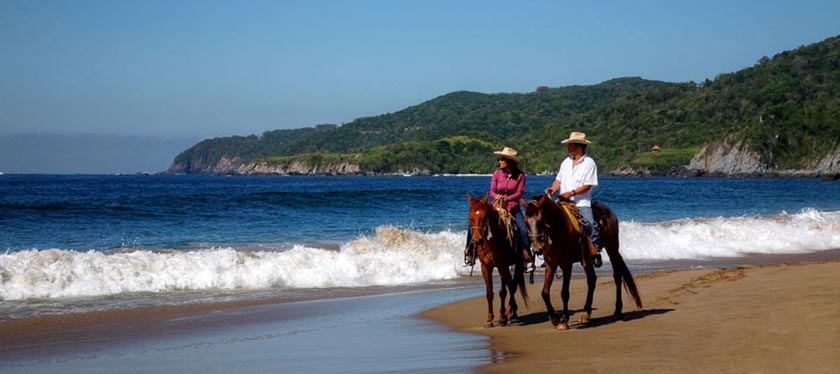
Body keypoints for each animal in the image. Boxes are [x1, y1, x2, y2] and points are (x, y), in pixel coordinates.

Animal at [466, 194, 524, 326]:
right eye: (470, 218)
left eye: (484, 217)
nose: (477, 240)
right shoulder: (485, 267)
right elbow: (489, 293)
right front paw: (489, 319)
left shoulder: (502, 266)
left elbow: (503, 292)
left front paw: (502, 317)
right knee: (511, 285)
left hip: (518, 263)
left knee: (513, 286)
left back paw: (512, 312)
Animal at [524, 196, 644, 330]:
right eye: (525, 222)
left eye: (541, 220)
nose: (537, 249)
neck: (559, 229)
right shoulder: (551, 264)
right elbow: (544, 293)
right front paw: (555, 318)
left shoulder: (566, 264)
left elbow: (564, 292)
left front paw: (564, 320)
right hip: (586, 259)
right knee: (592, 279)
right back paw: (586, 312)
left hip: (612, 249)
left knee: (617, 276)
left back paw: (617, 312)